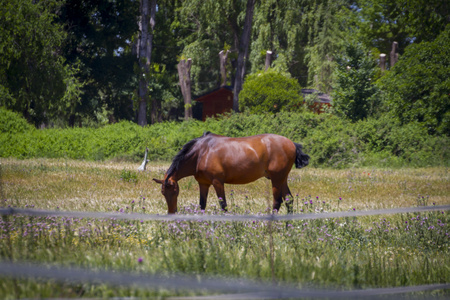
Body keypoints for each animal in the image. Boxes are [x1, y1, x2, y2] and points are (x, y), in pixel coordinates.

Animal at [152, 132, 310, 213]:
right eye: (163, 193)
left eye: (174, 191)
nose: (172, 212)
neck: (201, 153)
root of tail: (292, 144)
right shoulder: (203, 184)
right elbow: (202, 205)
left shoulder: (217, 182)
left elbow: (224, 205)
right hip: (282, 179)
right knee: (289, 200)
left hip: (276, 179)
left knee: (277, 201)